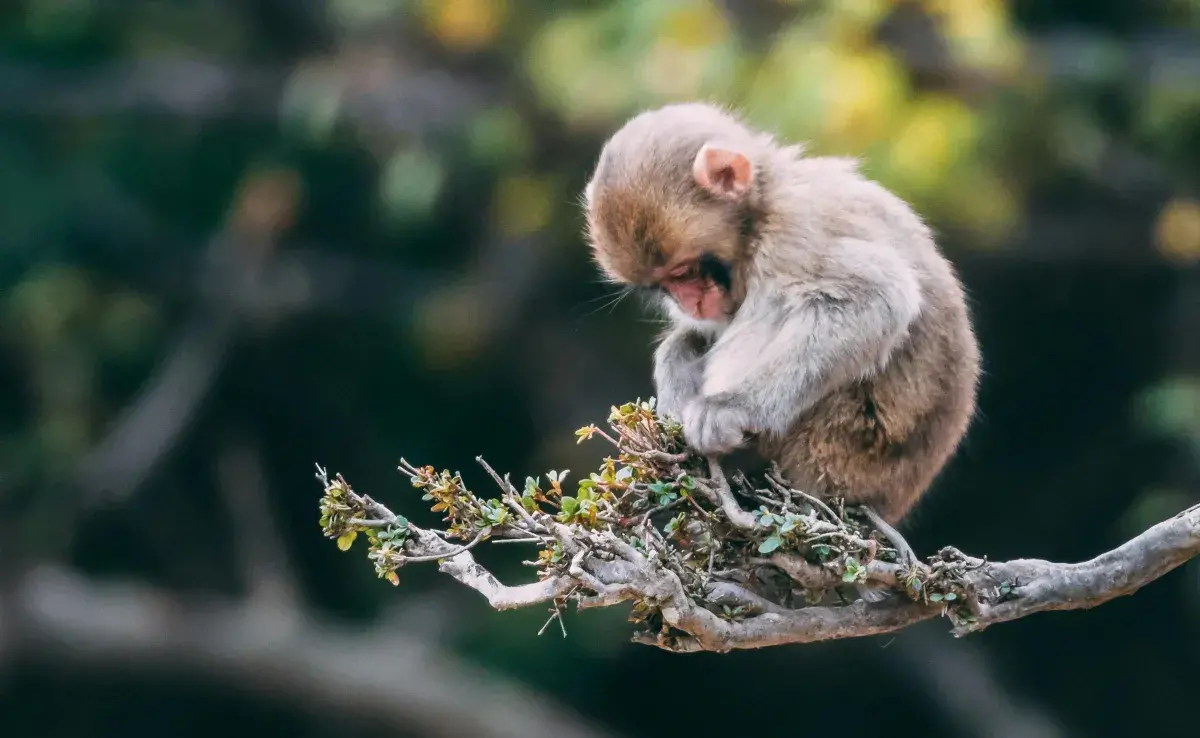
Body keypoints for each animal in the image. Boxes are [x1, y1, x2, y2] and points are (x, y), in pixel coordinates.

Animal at [580, 102, 984, 530]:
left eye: (684, 271)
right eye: (663, 285)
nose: (689, 303)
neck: (763, 206)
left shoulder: (795, 233)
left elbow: (876, 299)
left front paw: (733, 408)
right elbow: (696, 335)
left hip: (836, 451)